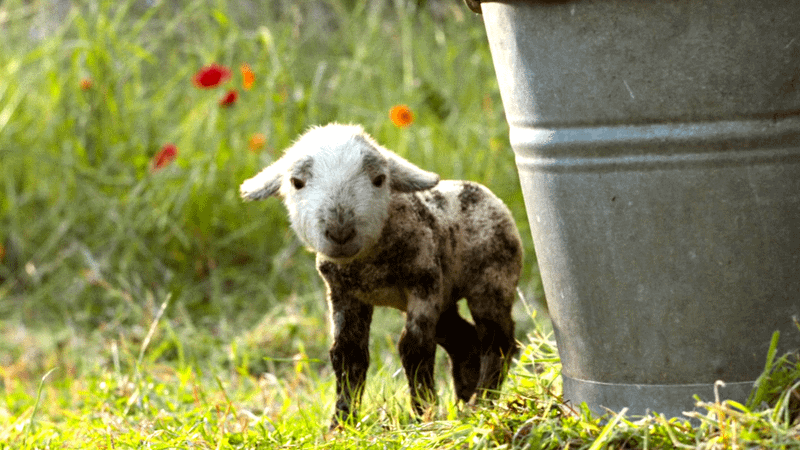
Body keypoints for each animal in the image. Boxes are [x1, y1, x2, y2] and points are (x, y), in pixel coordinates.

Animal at [240, 123, 523, 428]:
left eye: (379, 179)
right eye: (296, 182)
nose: (340, 232)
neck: (368, 265)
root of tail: (488, 194)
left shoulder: (424, 283)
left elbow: (414, 347)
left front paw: (423, 414)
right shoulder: (344, 294)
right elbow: (347, 354)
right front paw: (341, 423)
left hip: (493, 278)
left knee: (498, 341)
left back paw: (484, 399)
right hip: (447, 294)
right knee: (463, 337)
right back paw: (466, 395)